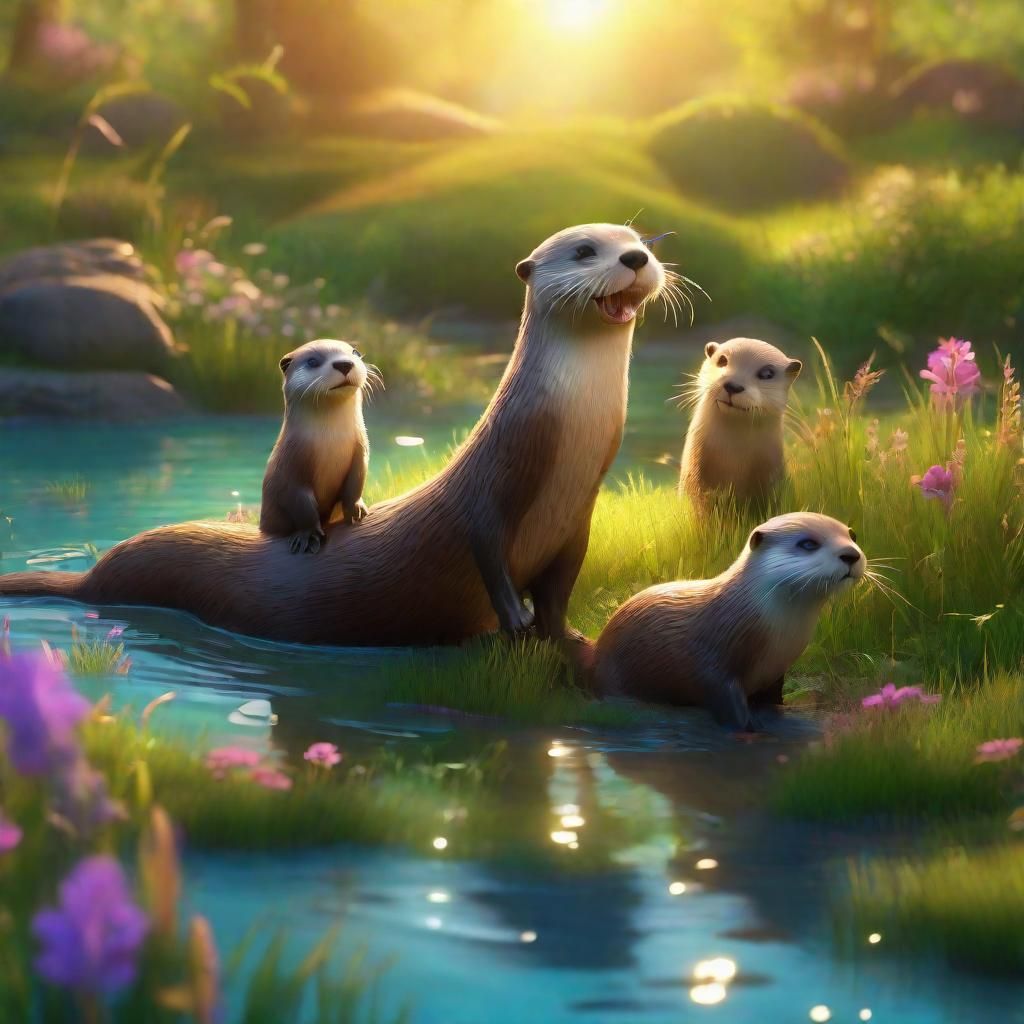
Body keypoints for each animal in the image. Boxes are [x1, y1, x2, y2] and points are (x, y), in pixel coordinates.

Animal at [260, 338, 375, 554]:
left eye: (354, 352)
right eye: (312, 361)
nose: (344, 364)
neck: (332, 440)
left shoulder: (361, 450)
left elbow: (356, 482)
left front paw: (355, 509)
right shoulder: (290, 465)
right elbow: (302, 505)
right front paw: (308, 535)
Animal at [589, 513, 864, 730]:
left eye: (853, 536)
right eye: (808, 544)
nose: (851, 554)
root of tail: (595, 649)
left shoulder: (776, 671)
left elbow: (774, 698)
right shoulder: (712, 655)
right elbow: (723, 697)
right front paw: (748, 727)